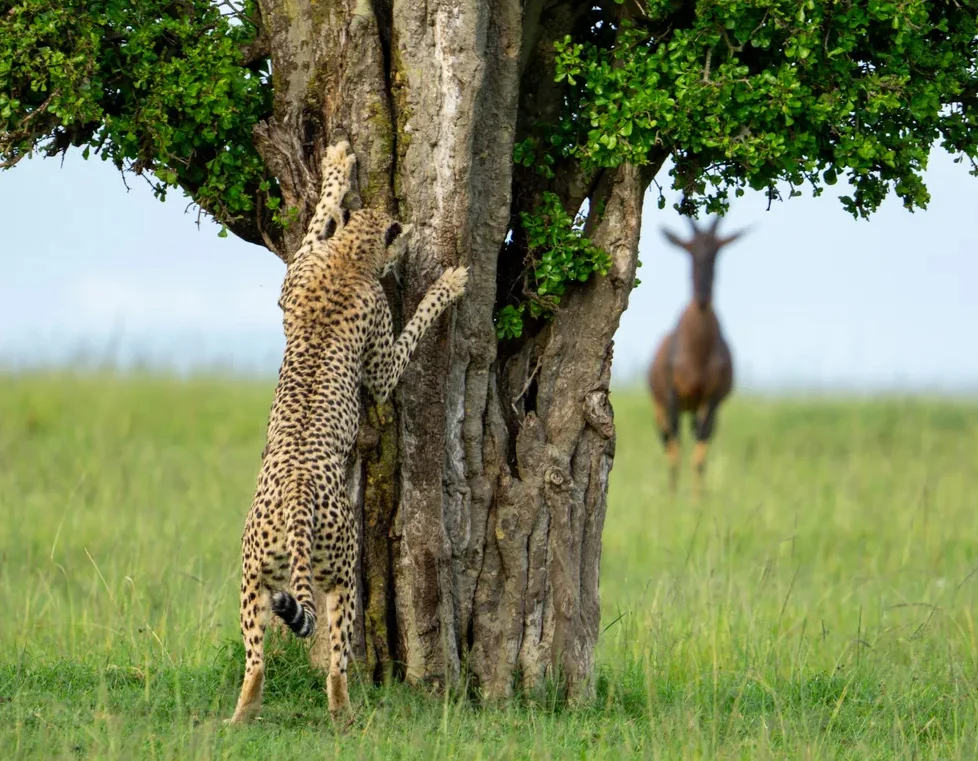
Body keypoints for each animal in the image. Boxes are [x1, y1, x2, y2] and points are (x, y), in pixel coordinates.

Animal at [227, 139, 469, 725]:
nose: (412, 237)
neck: (349, 258)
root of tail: (296, 499)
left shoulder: (292, 279)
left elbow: (318, 219)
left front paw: (336, 168)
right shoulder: (379, 366)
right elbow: (410, 332)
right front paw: (446, 285)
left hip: (253, 579)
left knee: (256, 660)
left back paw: (241, 715)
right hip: (340, 574)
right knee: (337, 658)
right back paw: (345, 715)